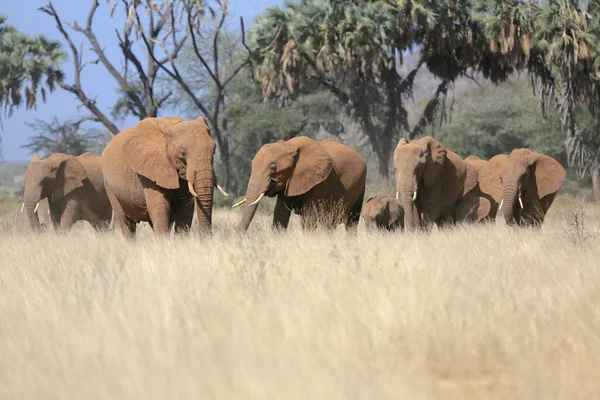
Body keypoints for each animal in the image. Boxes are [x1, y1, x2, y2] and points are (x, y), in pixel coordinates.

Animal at [234, 137, 366, 231]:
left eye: (273, 167)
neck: (289, 146)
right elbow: (280, 214)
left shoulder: (320, 181)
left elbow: (309, 218)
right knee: (329, 223)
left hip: (361, 185)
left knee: (351, 222)